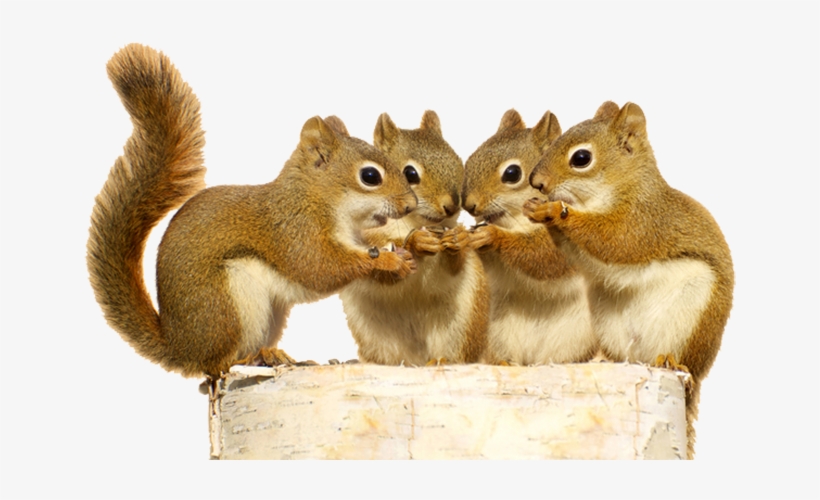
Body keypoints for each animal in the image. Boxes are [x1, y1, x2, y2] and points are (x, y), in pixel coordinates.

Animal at [87, 44, 418, 378]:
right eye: (370, 176)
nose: (411, 205)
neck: (317, 199)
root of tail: (180, 347)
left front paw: (405, 252)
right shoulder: (293, 230)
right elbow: (320, 268)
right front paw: (387, 260)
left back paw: (272, 355)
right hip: (228, 304)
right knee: (214, 365)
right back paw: (243, 361)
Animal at [339, 111, 489, 365]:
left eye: (458, 162)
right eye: (410, 174)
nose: (452, 206)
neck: (415, 222)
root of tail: (416, 360)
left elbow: (452, 269)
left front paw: (458, 241)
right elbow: (381, 270)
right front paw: (416, 243)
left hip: (462, 323)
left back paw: (441, 360)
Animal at [462, 109, 596, 365]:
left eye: (512, 173)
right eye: (471, 158)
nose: (469, 205)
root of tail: (532, 358)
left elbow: (544, 256)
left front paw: (493, 236)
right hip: (498, 333)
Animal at [525, 101, 734, 458]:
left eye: (581, 158)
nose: (536, 182)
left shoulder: (642, 222)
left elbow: (612, 240)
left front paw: (555, 211)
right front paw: (537, 208)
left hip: (692, 317)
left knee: (682, 361)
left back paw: (671, 360)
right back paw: (602, 358)